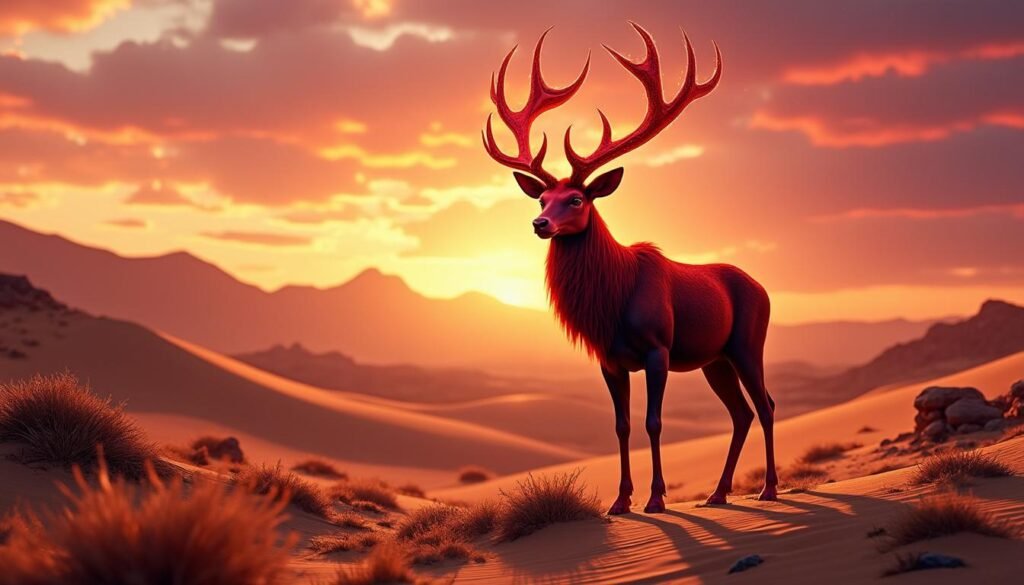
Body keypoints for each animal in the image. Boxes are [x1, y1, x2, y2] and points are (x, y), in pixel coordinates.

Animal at [482, 23, 777, 514]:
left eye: (576, 199)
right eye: (542, 198)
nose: (540, 224)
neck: (612, 302)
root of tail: (764, 288)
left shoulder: (658, 348)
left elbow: (653, 422)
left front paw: (656, 498)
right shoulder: (610, 360)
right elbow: (621, 426)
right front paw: (620, 501)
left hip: (747, 344)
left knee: (766, 405)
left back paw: (769, 488)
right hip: (714, 360)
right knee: (742, 412)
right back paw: (718, 493)